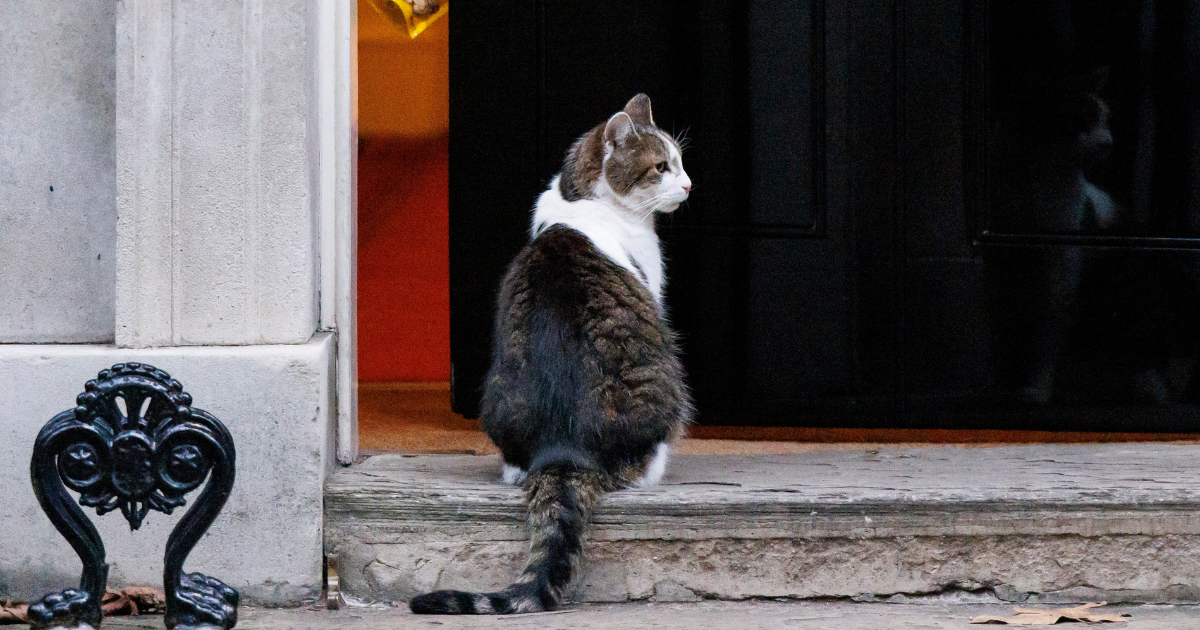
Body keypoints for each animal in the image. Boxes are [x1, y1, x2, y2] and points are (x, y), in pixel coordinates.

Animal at [410, 93, 696, 614]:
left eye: (680, 162)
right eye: (662, 167)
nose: (688, 184)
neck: (580, 198)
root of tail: (565, 450)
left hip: (496, 396)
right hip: (667, 389)